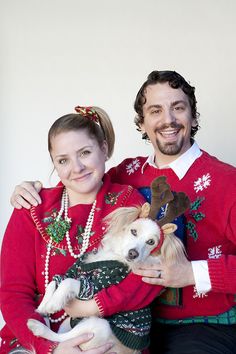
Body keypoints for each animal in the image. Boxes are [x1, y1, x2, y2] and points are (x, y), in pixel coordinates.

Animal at [27, 205, 186, 354]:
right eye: (134, 231)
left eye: (151, 242)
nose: (133, 253)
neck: (113, 256)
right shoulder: (75, 270)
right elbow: (55, 281)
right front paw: (43, 306)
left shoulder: (93, 287)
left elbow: (68, 282)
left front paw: (53, 304)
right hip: (68, 323)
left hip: (99, 325)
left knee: (61, 338)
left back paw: (37, 326)